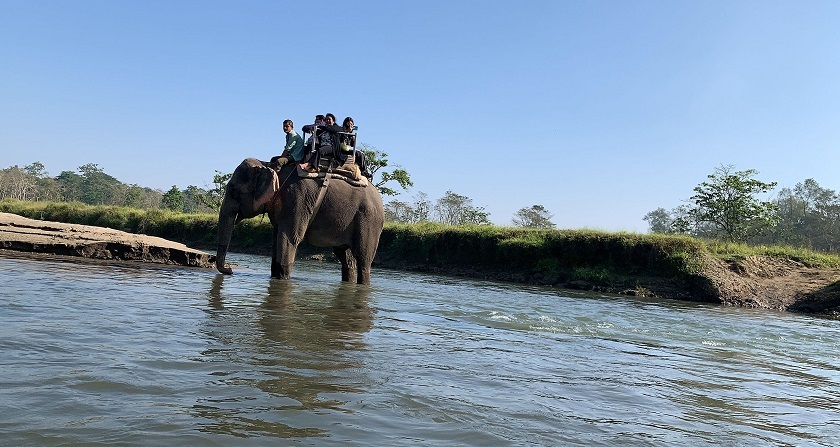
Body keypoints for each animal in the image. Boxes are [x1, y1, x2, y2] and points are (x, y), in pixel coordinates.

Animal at [217, 158, 388, 284]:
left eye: (233, 190)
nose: (230, 270)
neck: (270, 166)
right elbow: (276, 237)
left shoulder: (297, 199)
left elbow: (289, 238)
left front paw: (283, 280)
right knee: (345, 257)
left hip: (369, 220)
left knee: (363, 260)